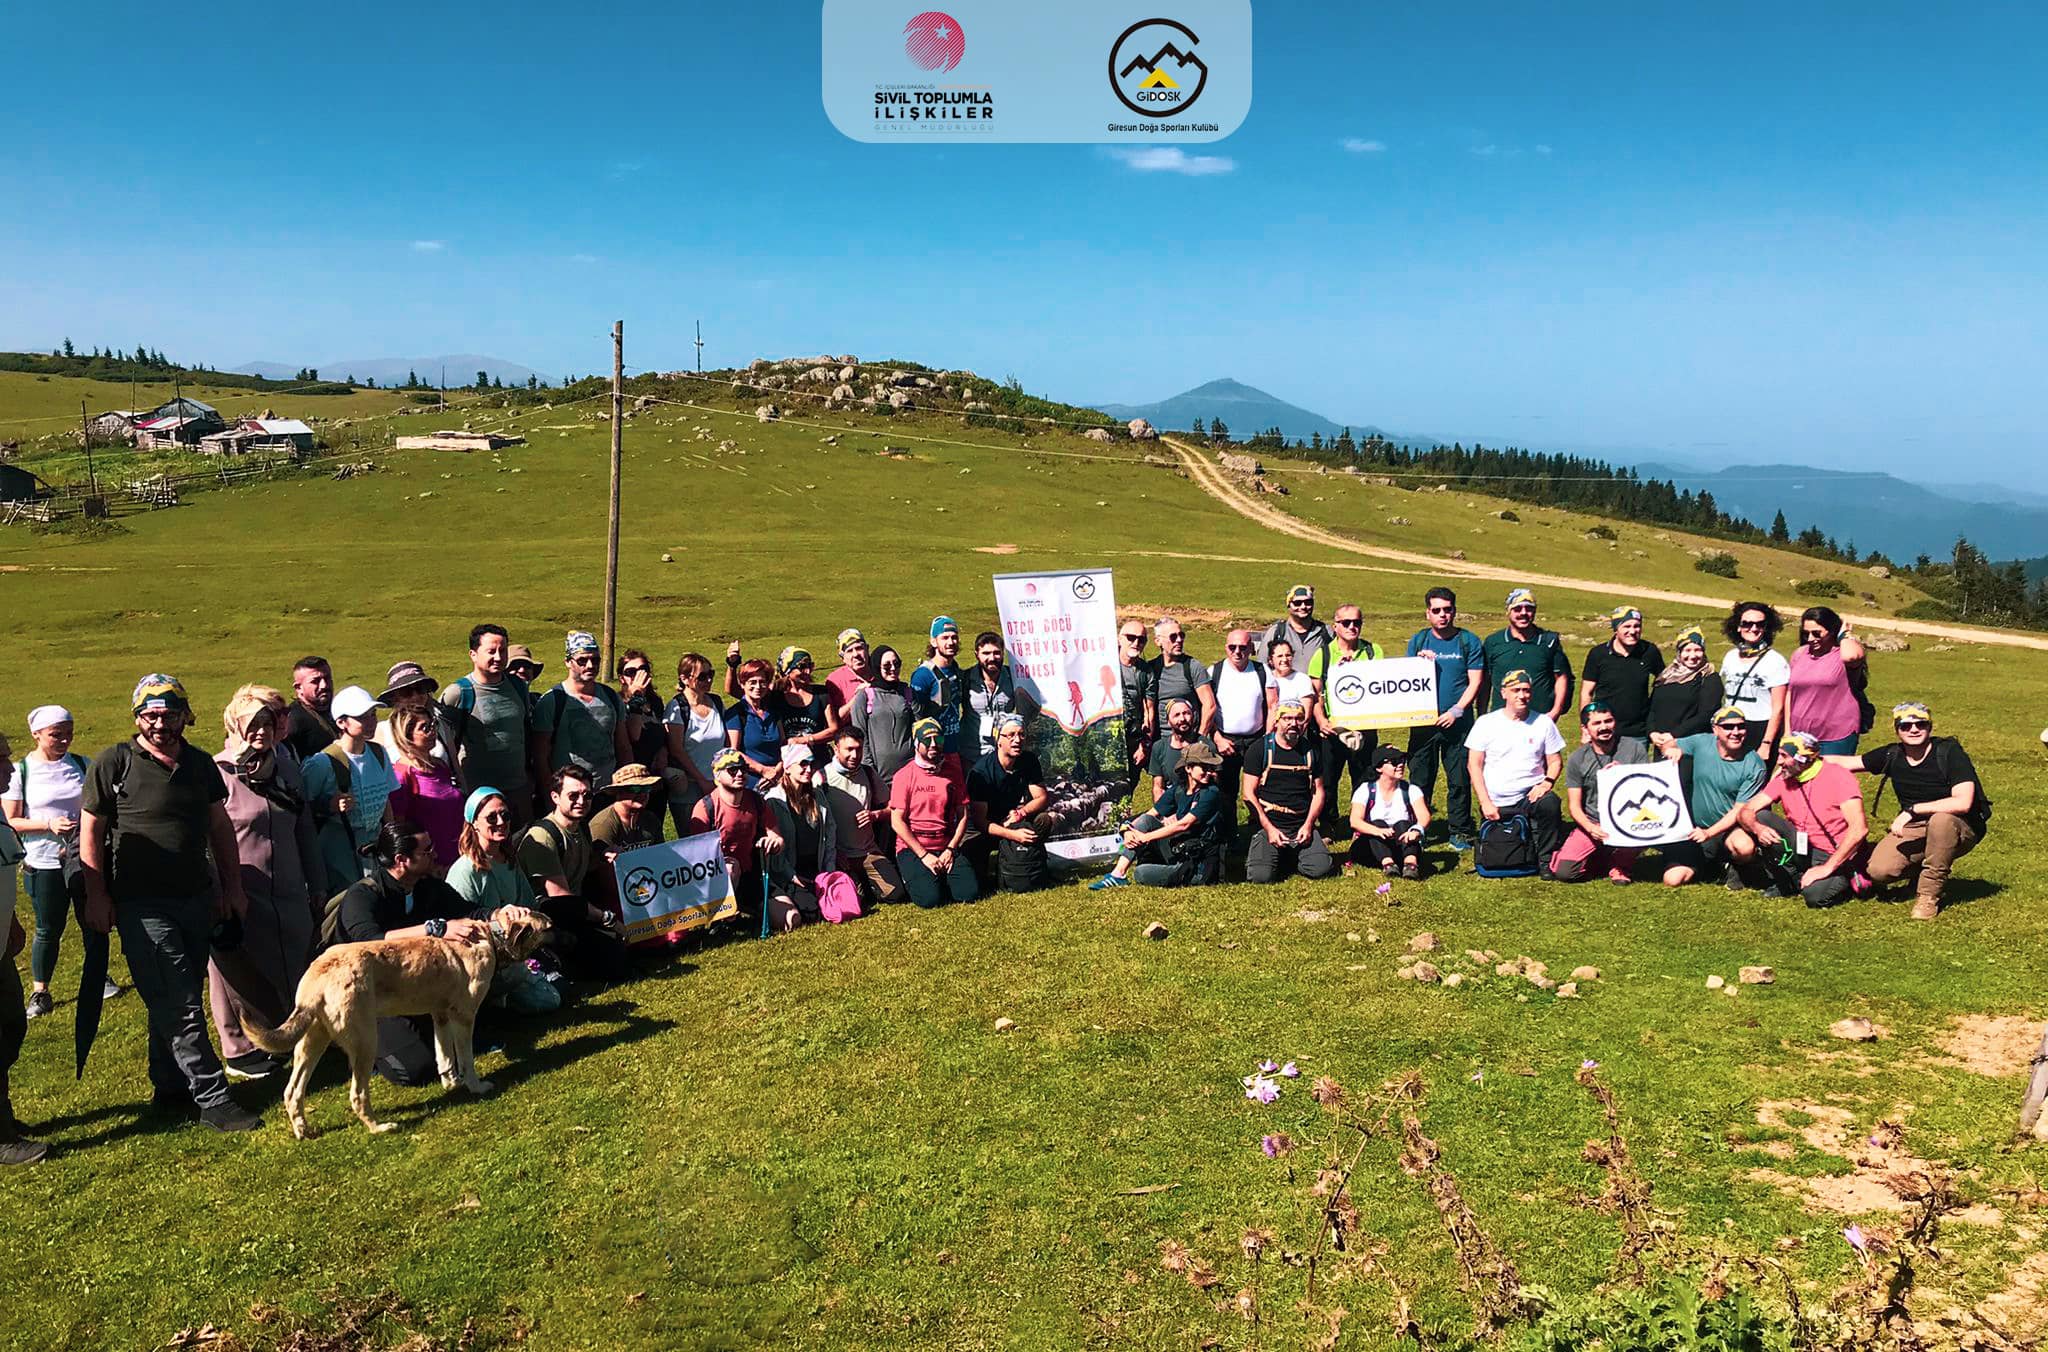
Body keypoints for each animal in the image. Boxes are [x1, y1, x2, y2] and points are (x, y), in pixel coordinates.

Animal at [246, 909, 552, 1138]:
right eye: (549, 927)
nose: (562, 929)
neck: (491, 936)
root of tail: (318, 974)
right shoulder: (464, 1016)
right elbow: (466, 1060)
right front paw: (475, 1087)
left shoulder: (440, 1015)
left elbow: (444, 1057)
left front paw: (451, 1085)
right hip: (366, 1042)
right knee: (357, 1095)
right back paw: (379, 1127)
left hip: (311, 1044)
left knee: (292, 1091)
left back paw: (303, 1131)